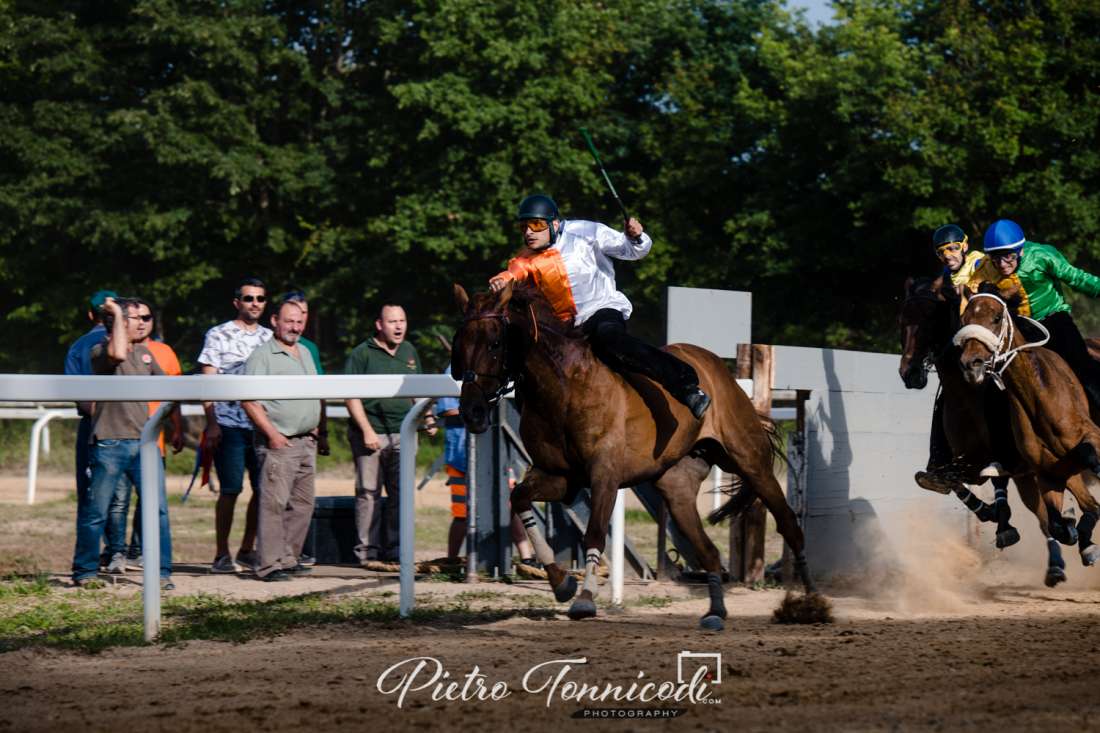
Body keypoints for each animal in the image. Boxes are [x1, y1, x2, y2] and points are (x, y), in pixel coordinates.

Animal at [448, 280, 818, 629]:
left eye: (495, 343)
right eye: (460, 343)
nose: (472, 412)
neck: (564, 387)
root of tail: (717, 367)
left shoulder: (605, 475)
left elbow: (595, 531)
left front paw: (585, 598)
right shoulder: (559, 476)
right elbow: (520, 498)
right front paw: (561, 582)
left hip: (750, 460)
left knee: (788, 523)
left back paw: (812, 600)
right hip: (677, 489)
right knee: (709, 551)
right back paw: (716, 612)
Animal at [954, 288, 1100, 585]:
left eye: (997, 318)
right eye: (964, 319)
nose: (971, 364)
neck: (1039, 399)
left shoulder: (1092, 438)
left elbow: (1088, 457)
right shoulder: (1046, 472)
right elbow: (1060, 523)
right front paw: (1077, 533)